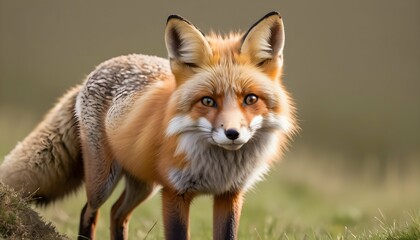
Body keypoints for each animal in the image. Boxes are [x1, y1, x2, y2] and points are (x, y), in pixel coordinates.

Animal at [0, 11, 296, 240]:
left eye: (251, 99)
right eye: (208, 101)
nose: (232, 134)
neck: (217, 168)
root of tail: (93, 72)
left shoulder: (229, 195)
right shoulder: (175, 192)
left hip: (143, 183)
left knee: (117, 214)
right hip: (103, 180)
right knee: (90, 212)